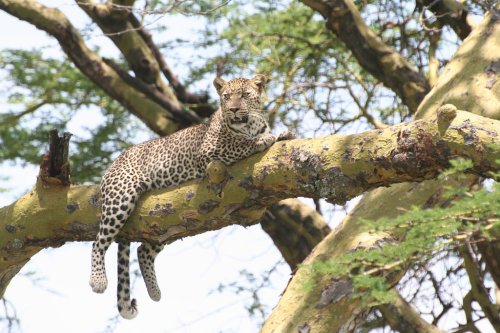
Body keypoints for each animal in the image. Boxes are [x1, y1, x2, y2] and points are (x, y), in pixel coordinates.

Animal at [89, 74, 292, 318]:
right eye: (226, 97)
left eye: (244, 95)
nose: (233, 109)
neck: (249, 123)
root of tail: (112, 165)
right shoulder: (209, 150)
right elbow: (240, 143)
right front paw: (263, 140)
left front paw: (282, 133)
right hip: (120, 197)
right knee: (98, 242)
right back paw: (98, 281)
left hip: (166, 224)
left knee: (142, 250)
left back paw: (155, 291)